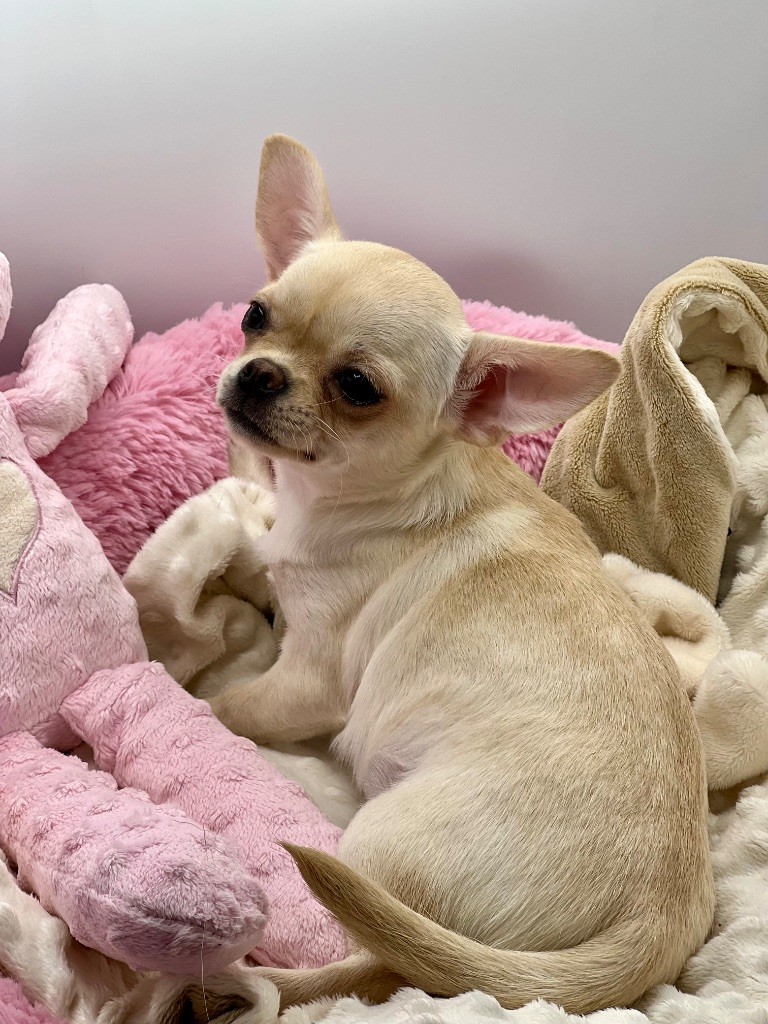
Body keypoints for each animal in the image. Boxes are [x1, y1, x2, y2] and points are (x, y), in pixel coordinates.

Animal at [211, 134, 714, 1013]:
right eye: (254, 316)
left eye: (357, 388)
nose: (259, 373)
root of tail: (657, 924)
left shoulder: (305, 681)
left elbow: (229, 701)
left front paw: (188, 692)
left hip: (378, 847)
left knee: (381, 965)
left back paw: (256, 981)